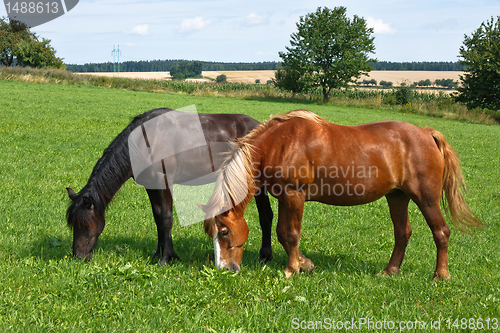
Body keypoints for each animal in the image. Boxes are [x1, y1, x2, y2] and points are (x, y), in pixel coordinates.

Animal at [66, 107, 274, 264]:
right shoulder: (151, 186)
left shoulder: (163, 182)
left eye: (86, 224)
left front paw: (166, 258)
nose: (78, 256)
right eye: (73, 225)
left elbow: (166, 218)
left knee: (266, 215)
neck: (144, 142)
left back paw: (265, 256)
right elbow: (158, 217)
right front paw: (159, 254)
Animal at [200, 109, 484, 278]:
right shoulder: (284, 197)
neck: (280, 144)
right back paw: (389, 271)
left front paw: (291, 269)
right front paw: (305, 264)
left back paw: (440, 275)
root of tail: (426, 133)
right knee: (402, 233)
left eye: (223, 232)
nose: (223, 268)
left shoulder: (294, 195)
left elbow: (290, 234)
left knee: (441, 232)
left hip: (426, 199)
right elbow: (282, 234)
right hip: (397, 196)